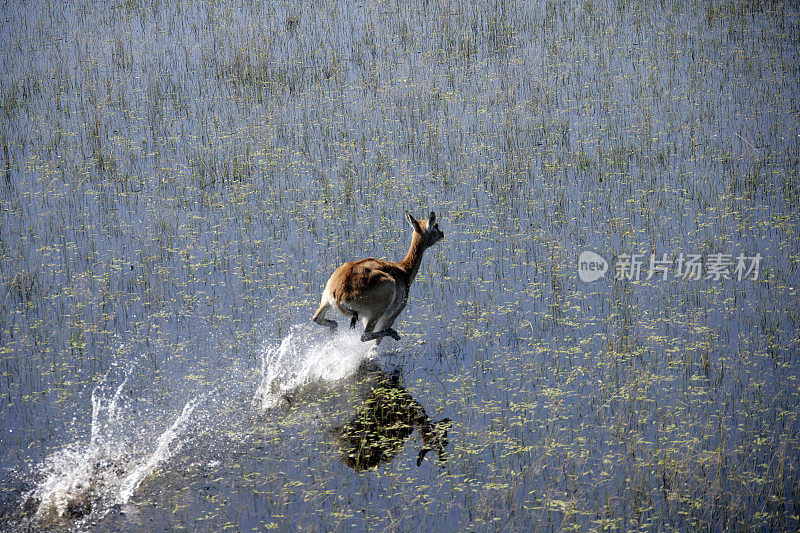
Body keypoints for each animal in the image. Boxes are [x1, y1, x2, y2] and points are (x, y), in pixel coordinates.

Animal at [310, 210, 444, 342]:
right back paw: (394, 334)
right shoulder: (390, 317)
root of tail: (339, 293)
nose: (442, 233)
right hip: (376, 312)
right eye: (435, 225)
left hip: (326, 302)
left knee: (318, 319)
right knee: (365, 336)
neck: (404, 270)